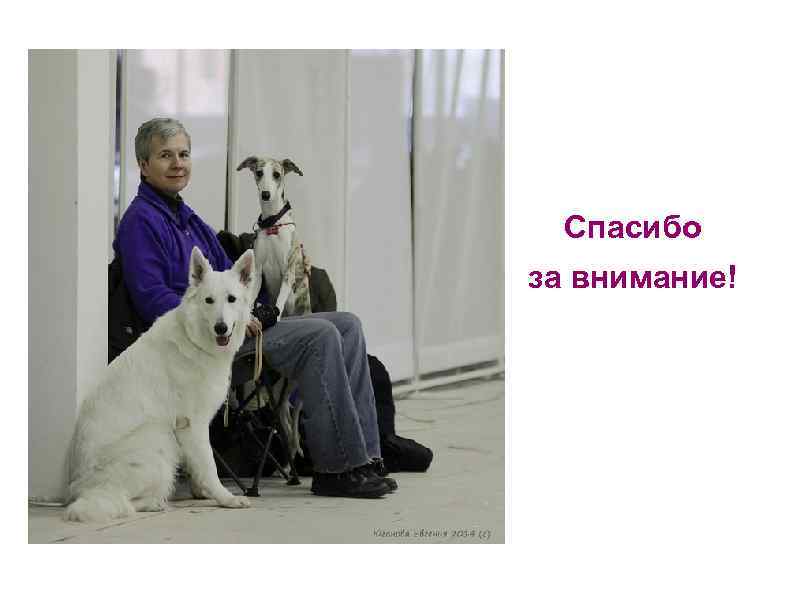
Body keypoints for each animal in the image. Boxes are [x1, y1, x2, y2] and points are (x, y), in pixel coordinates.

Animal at [64, 247, 255, 522]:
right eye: (208, 301)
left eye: (231, 299)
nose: (221, 328)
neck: (193, 340)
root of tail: (83, 490)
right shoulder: (192, 425)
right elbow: (209, 464)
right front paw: (225, 498)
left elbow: (199, 465)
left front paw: (202, 492)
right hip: (159, 437)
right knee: (124, 502)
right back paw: (154, 503)